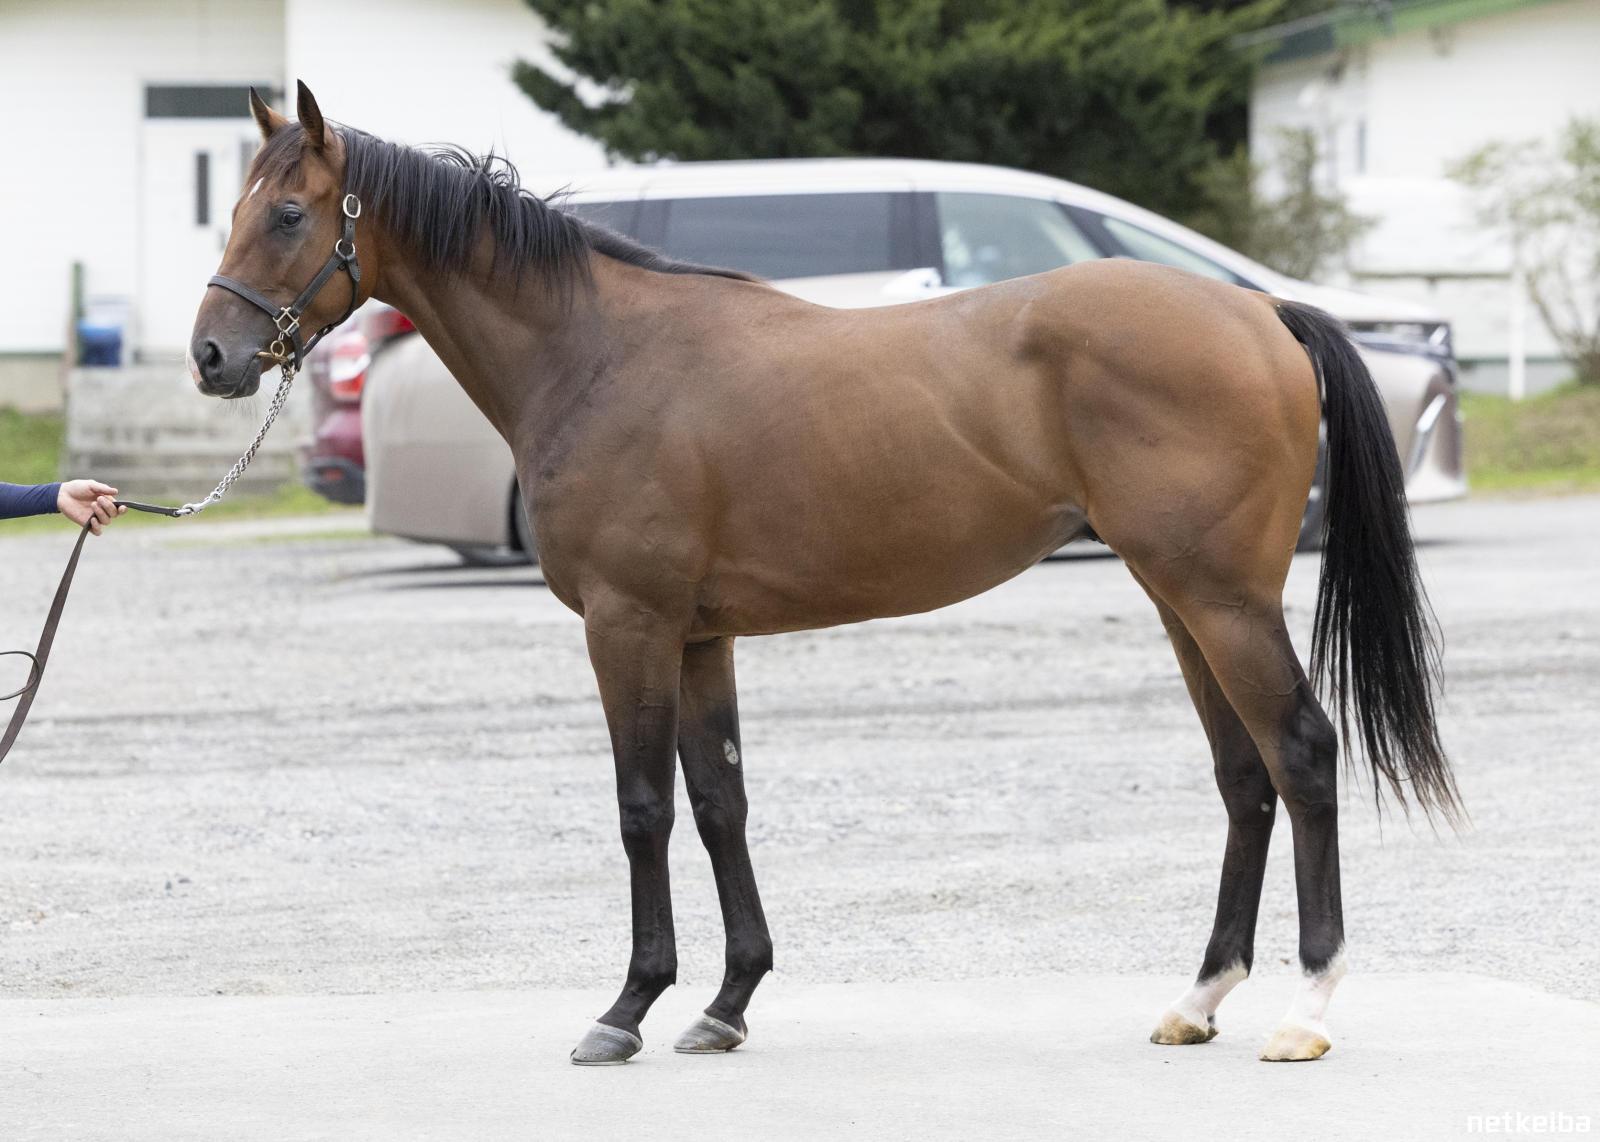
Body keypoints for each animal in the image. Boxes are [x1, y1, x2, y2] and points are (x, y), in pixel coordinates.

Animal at [188, 83, 1458, 1066]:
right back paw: (1196, 1000)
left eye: (290, 213)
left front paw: (626, 1008)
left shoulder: (628, 624)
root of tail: (1259, 307)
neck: (599, 355)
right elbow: (719, 803)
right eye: (235, 207)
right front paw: (725, 1002)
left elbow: (643, 809)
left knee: (1300, 754)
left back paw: (1304, 1007)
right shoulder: (699, 634)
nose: (212, 355)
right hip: (1179, 599)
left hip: (1222, 598)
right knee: (1244, 777)